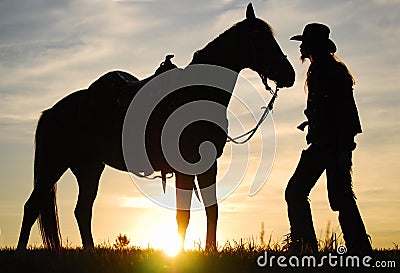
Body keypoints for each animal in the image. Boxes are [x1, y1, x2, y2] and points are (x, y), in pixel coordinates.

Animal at [17, 3, 296, 251]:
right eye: (260, 39)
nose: (289, 74)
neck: (196, 94)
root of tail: (51, 112)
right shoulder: (186, 166)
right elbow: (183, 215)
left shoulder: (209, 165)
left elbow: (212, 209)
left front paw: (210, 251)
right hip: (53, 166)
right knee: (32, 207)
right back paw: (21, 251)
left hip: (89, 169)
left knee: (82, 210)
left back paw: (90, 251)